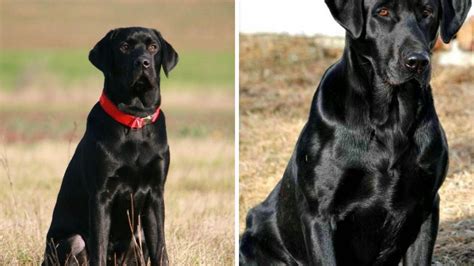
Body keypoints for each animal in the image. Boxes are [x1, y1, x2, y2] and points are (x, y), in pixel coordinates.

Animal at [42, 27, 178, 266]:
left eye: (153, 47)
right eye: (124, 47)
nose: (143, 62)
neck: (134, 119)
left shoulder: (155, 194)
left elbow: (160, 249)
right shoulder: (101, 195)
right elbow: (99, 247)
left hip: (139, 237)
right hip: (72, 240)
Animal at [241, 0, 470, 264]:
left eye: (427, 12)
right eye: (382, 12)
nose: (418, 61)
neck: (391, 119)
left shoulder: (426, 207)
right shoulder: (319, 213)